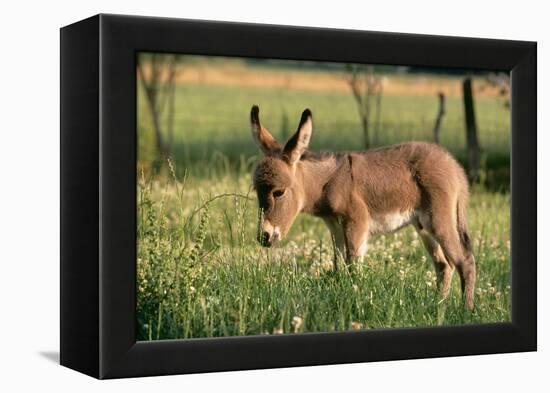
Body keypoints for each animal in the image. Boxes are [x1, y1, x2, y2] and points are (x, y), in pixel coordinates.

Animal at [252, 105, 476, 308]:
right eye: (256, 190)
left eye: (278, 192)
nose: (264, 237)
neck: (328, 182)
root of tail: (455, 166)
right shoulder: (335, 227)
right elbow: (338, 267)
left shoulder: (356, 222)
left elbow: (353, 267)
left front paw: (354, 299)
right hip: (423, 227)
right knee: (444, 265)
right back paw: (438, 305)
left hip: (438, 220)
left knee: (465, 261)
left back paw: (465, 310)